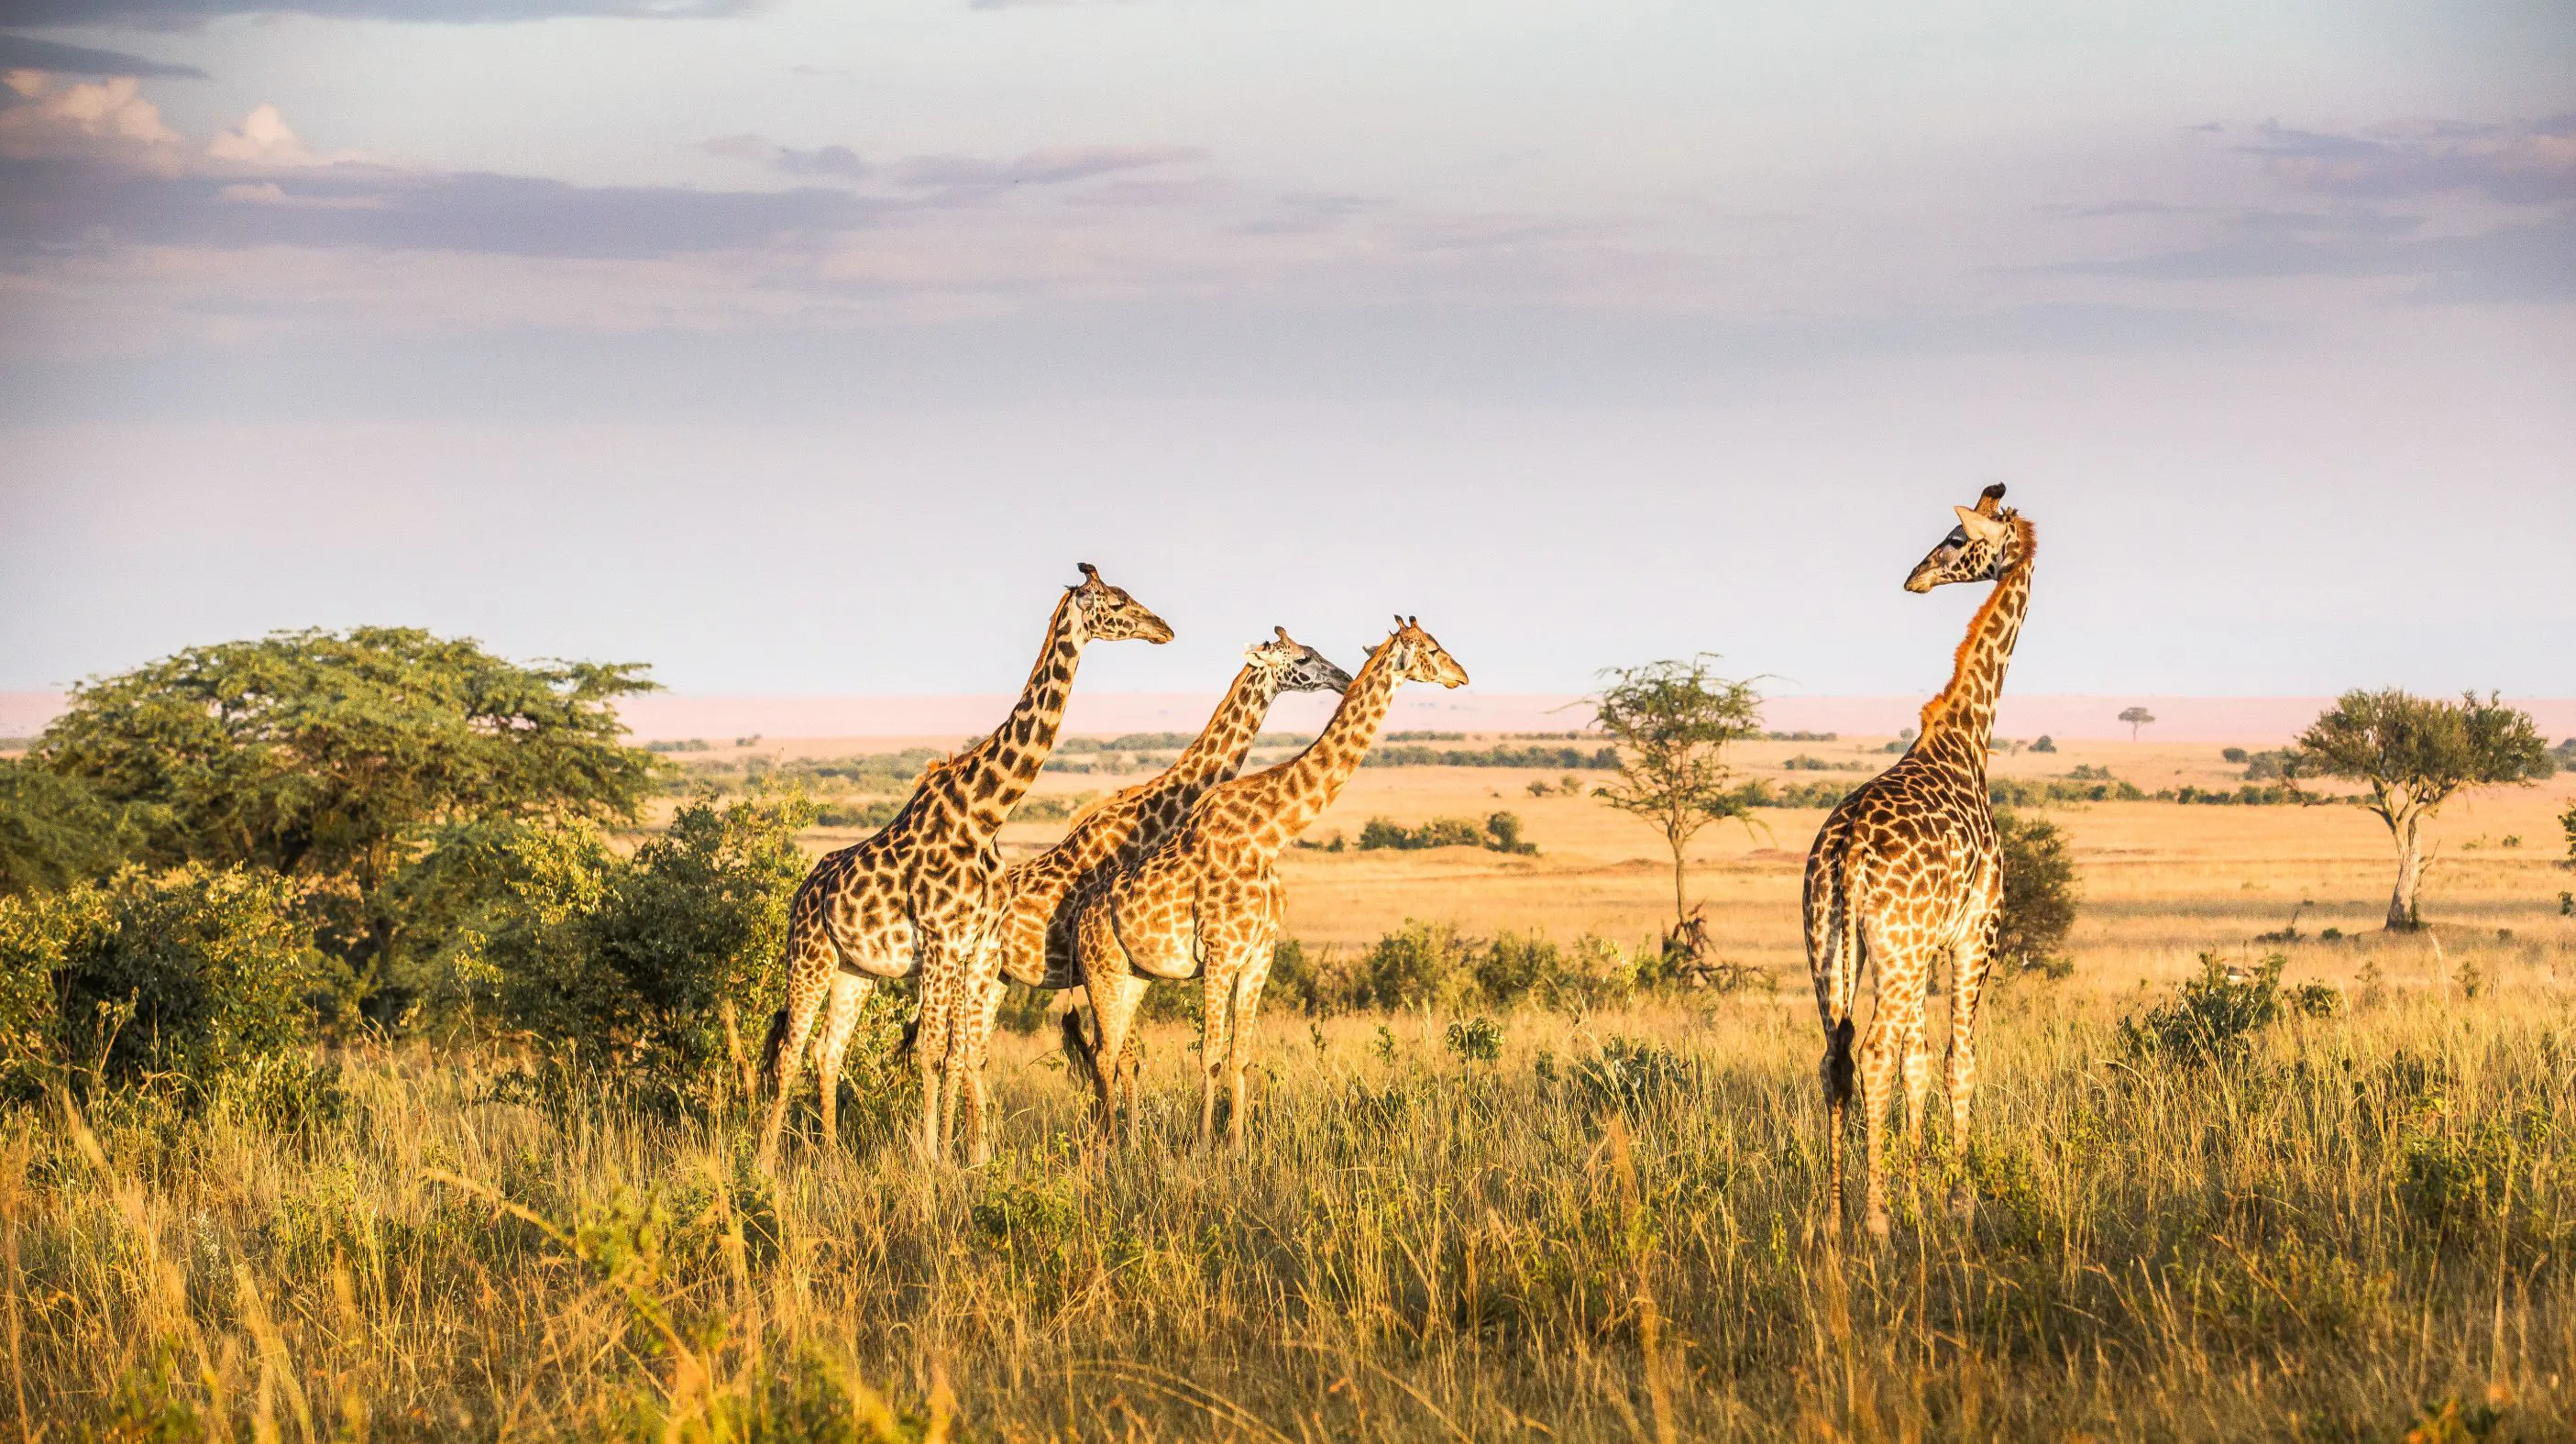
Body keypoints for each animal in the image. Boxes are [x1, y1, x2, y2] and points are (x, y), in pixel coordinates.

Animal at [756, 564, 1171, 1170]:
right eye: (1116, 600)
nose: (1164, 628)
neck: (985, 814)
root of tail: (803, 891)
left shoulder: (978, 947)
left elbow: (962, 1051)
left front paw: (964, 1157)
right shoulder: (940, 942)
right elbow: (932, 1051)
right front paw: (931, 1160)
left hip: (854, 969)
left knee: (828, 1052)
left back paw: (831, 1163)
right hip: (808, 955)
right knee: (790, 1051)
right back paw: (765, 1165)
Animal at [937, 629, 1353, 1163]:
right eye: (1303, 658)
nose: (1343, 678)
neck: (1156, 819)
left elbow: (1127, 1060)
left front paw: (1128, 1144)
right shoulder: (1108, 962)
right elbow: (1116, 1058)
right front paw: (1116, 1145)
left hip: (999, 980)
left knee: (974, 1053)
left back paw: (975, 1147)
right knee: (958, 1052)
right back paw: (963, 1152)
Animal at [1066, 617, 1468, 1147]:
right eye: (1428, 648)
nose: (1462, 674)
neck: (1270, 836)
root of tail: (1080, 919)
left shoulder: (1260, 954)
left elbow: (1240, 1055)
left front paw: (1236, 1146)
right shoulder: (1220, 954)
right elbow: (1210, 1056)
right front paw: (1202, 1148)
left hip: (1134, 976)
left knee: (1110, 1053)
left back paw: (1120, 1144)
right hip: (1102, 972)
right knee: (1105, 1054)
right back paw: (1109, 1148)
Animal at [1804, 483, 2035, 1239]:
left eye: (1957, 540)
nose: (1915, 577)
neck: (1969, 735)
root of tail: (1846, 849)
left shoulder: (1927, 943)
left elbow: (1919, 1065)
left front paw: (1914, 1190)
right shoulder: (1974, 933)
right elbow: (1957, 1060)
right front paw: (1954, 1197)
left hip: (1832, 947)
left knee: (1836, 1058)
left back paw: (1838, 1214)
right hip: (1899, 952)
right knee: (1872, 1054)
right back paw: (1874, 1220)